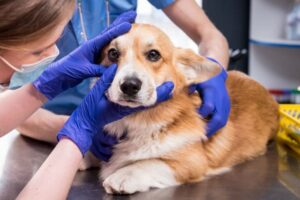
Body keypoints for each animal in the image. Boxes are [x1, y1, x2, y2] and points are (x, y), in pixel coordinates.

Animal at [80, 23, 278, 194]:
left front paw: (124, 175)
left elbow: (149, 162)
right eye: (113, 53)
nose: (129, 85)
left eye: (153, 55)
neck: (134, 121)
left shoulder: (191, 162)